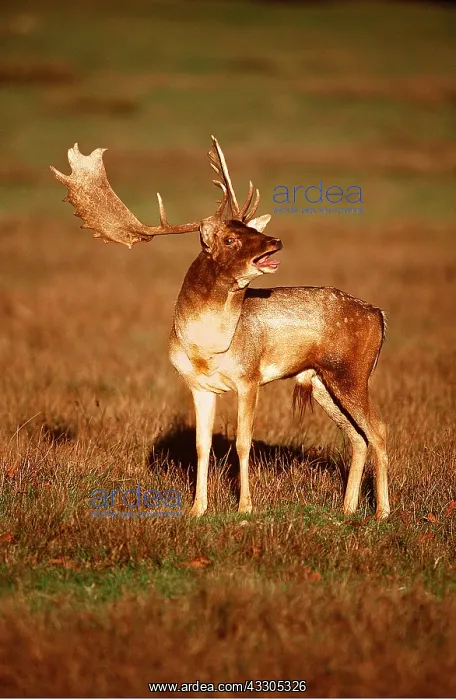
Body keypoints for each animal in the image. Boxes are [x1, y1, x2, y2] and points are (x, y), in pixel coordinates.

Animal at [50, 137, 390, 520]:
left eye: (253, 229)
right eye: (230, 239)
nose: (275, 241)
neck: (206, 349)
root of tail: (379, 316)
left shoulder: (249, 377)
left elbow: (243, 443)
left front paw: (245, 507)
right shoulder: (198, 385)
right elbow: (202, 445)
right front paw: (197, 508)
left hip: (352, 373)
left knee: (379, 430)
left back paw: (382, 512)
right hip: (322, 381)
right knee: (357, 437)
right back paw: (347, 510)